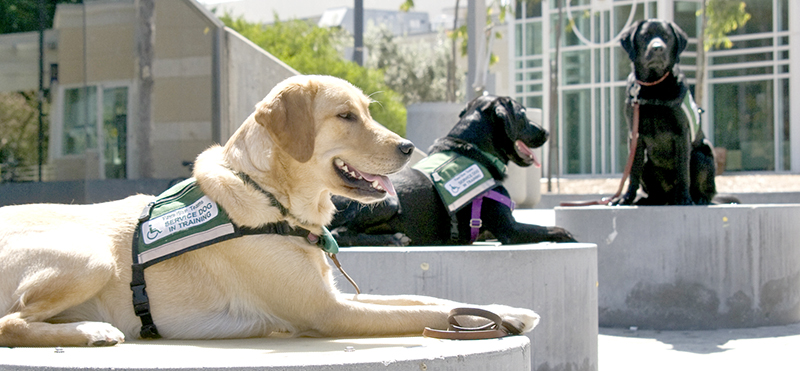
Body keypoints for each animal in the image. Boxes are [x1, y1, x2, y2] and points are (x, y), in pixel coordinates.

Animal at [0, 75, 540, 348]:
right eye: (345, 116)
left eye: (367, 110)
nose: (409, 148)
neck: (272, 198)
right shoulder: (327, 311)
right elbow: (420, 312)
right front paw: (501, 318)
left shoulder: (332, 294)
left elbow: (427, 299)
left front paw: (504, 311)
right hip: (90, 255)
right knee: (9, 324)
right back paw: (92, 331)